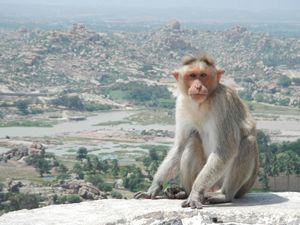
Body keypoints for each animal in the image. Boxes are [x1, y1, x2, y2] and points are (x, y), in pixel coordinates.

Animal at [135, 53, 258, 209]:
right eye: (192, 75)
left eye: (203, 75)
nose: (198, 86)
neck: (201, 103)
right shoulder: (181, 103)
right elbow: (180, 147)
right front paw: (155, 186)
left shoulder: (222, 102)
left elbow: (225, 150)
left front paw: (195, 193)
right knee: (192, 140)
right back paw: (183, 192)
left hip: (240, 186)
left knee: (247, 142)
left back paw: (224, 195)